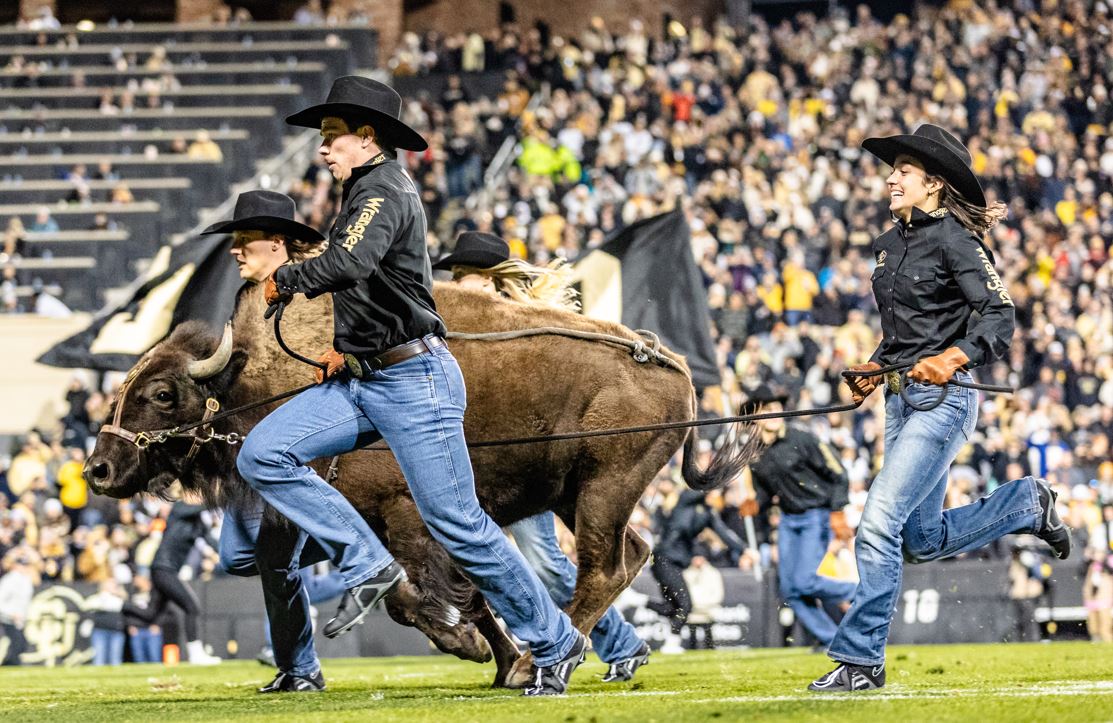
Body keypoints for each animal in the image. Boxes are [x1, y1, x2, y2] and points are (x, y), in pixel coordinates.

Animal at [86, 279, 756, 685]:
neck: (258, 376)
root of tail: (673, 364)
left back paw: (545, 664)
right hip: (578, 498)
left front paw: (477, 651)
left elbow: (418, 594)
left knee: (603, 567)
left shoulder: (407, 514)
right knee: (629, 556)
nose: (98, 470)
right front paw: (491, 656)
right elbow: (460, 592)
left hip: (602, 491)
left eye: (162, 393)